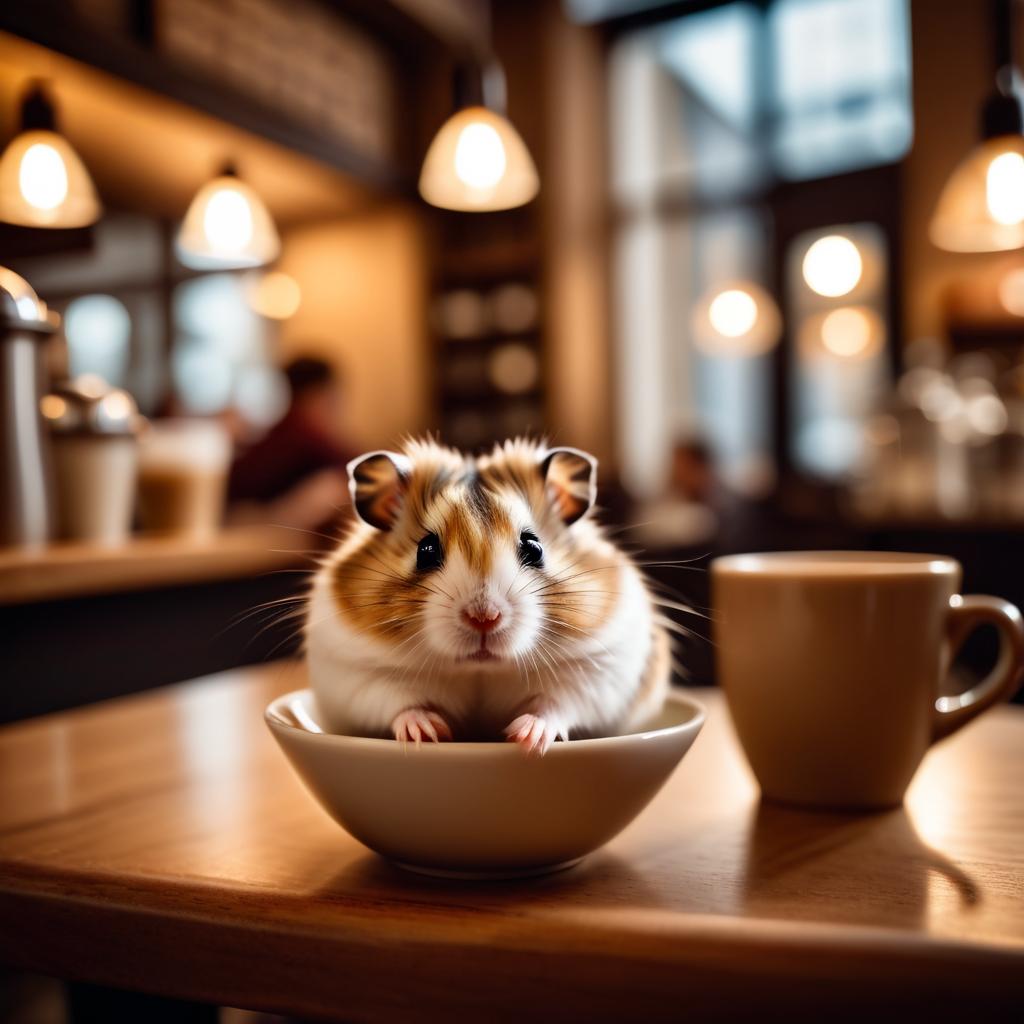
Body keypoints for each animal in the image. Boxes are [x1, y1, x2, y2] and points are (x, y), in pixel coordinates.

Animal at [303, 436, 671, 757]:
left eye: (534, 548)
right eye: (425, 550)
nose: (484, 618)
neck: (480, 669)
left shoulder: (598, 670)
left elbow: (556, 704)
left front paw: (525, 738)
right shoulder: (357, 673)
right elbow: (399, 703)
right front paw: (430, 732)